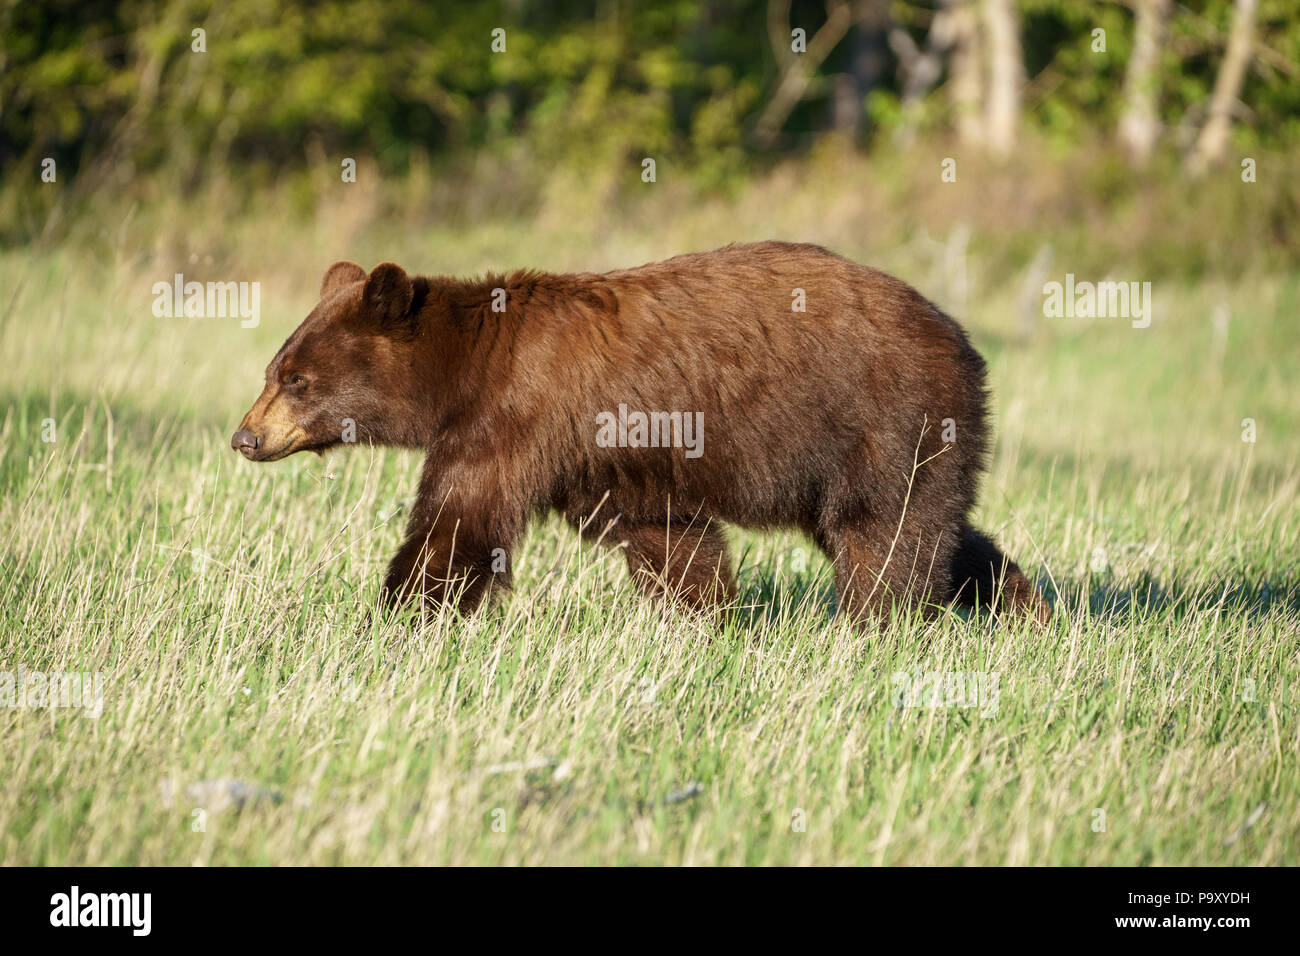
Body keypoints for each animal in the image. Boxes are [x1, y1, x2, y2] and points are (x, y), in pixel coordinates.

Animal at [231, 243, 1045, 624]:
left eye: (296, 379)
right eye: (273, 369)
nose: (245, 437)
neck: (466, 367)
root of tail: (962, 341)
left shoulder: (518, 416)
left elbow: (460, 522)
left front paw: (395, 619)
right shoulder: (610, 462)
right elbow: (669, 539)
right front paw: (709, 619)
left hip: (880, 420)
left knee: (886, 533)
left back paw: (880, 623)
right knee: (943, 532)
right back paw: (1023, 607)